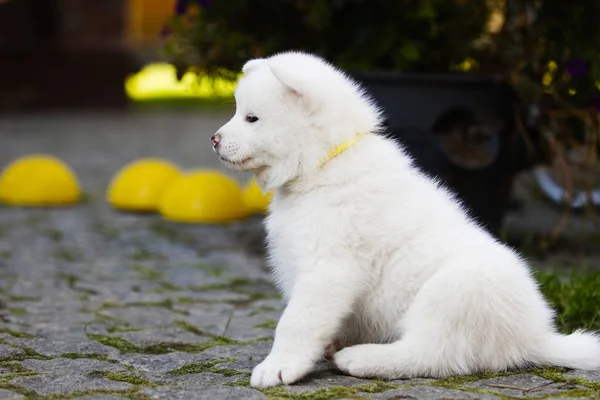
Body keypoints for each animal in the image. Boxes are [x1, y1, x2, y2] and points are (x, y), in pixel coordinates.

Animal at [212, 50, 600, 388]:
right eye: (238, 111)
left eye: (251, 118)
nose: (214, 139)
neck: (324, 164)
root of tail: (534, 337)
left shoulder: (328, 268)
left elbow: (296, 321)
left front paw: (279, 367)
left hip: (456, 290)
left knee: (431, 355)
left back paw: (363, 359)